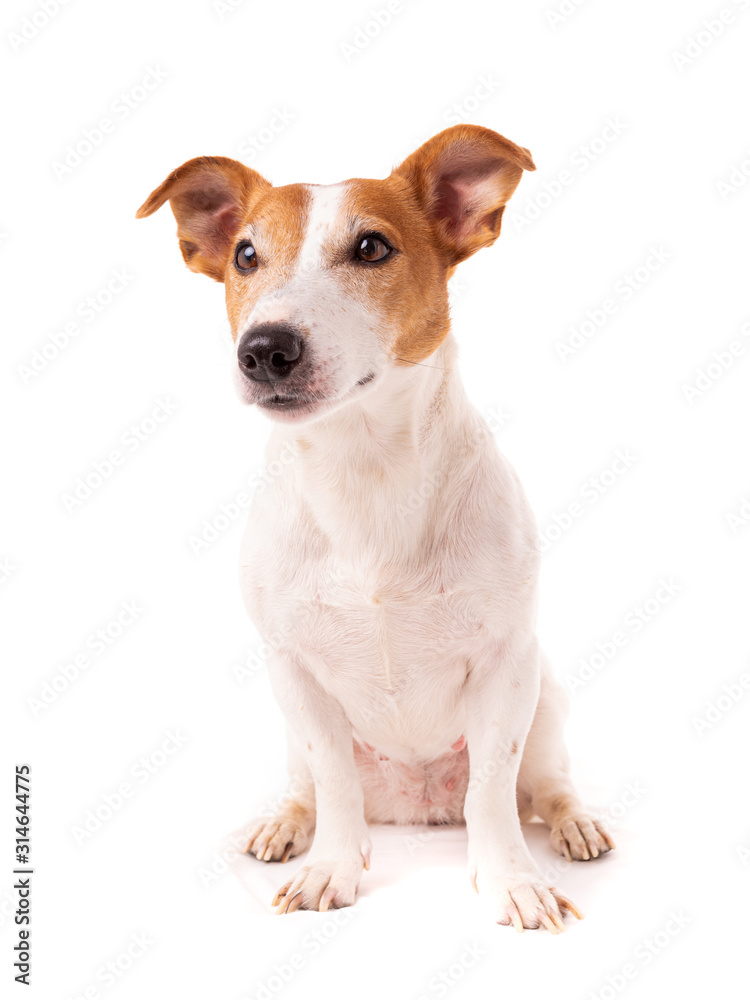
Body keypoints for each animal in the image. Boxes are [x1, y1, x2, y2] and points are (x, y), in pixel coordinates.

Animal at [140, 123, 616, 928]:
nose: (264, 349)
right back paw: (285, 822)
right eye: (245, 255)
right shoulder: (294, 670)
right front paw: (330, 867)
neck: (362, 472)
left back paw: (574, 822)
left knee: (543, 783)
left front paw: (513, 880)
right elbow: (334, 781)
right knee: (310, 785)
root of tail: (416, 807)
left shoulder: (506, 664)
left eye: (371, 247)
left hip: (546, 695)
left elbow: (493, 789)